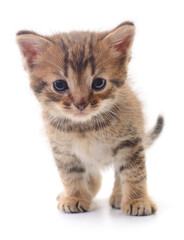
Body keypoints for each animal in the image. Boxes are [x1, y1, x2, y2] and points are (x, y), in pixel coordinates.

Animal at [16, 22, 164, 216]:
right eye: (59, 85)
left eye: (98, 83)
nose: (80, 104)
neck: (85, 126)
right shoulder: (63, 150)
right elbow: (71, 175)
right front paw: (75, 196)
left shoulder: (130, 142)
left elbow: (133, 173)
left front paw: (137, 200)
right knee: (95, 177)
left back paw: (118, 196)